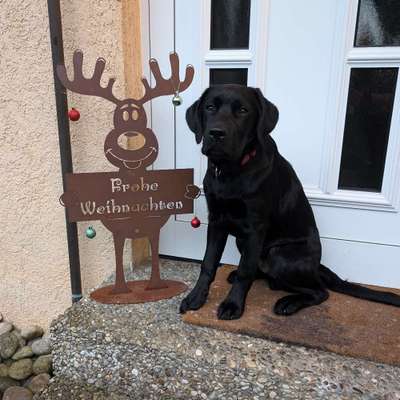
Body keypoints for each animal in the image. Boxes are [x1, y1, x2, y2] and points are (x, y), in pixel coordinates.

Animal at [180, 85, 400, 322]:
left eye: (243, 111)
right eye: (210, 107)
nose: (217, 133)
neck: (231, 171)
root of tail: (316, 267)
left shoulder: (255, 227)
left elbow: (245, 271)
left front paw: (232, 305)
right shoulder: (216, 221)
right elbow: (208, 263)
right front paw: (195, 298)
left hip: (279, 255)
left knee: (320, 291)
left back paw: (289, 302)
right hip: (244, 242)